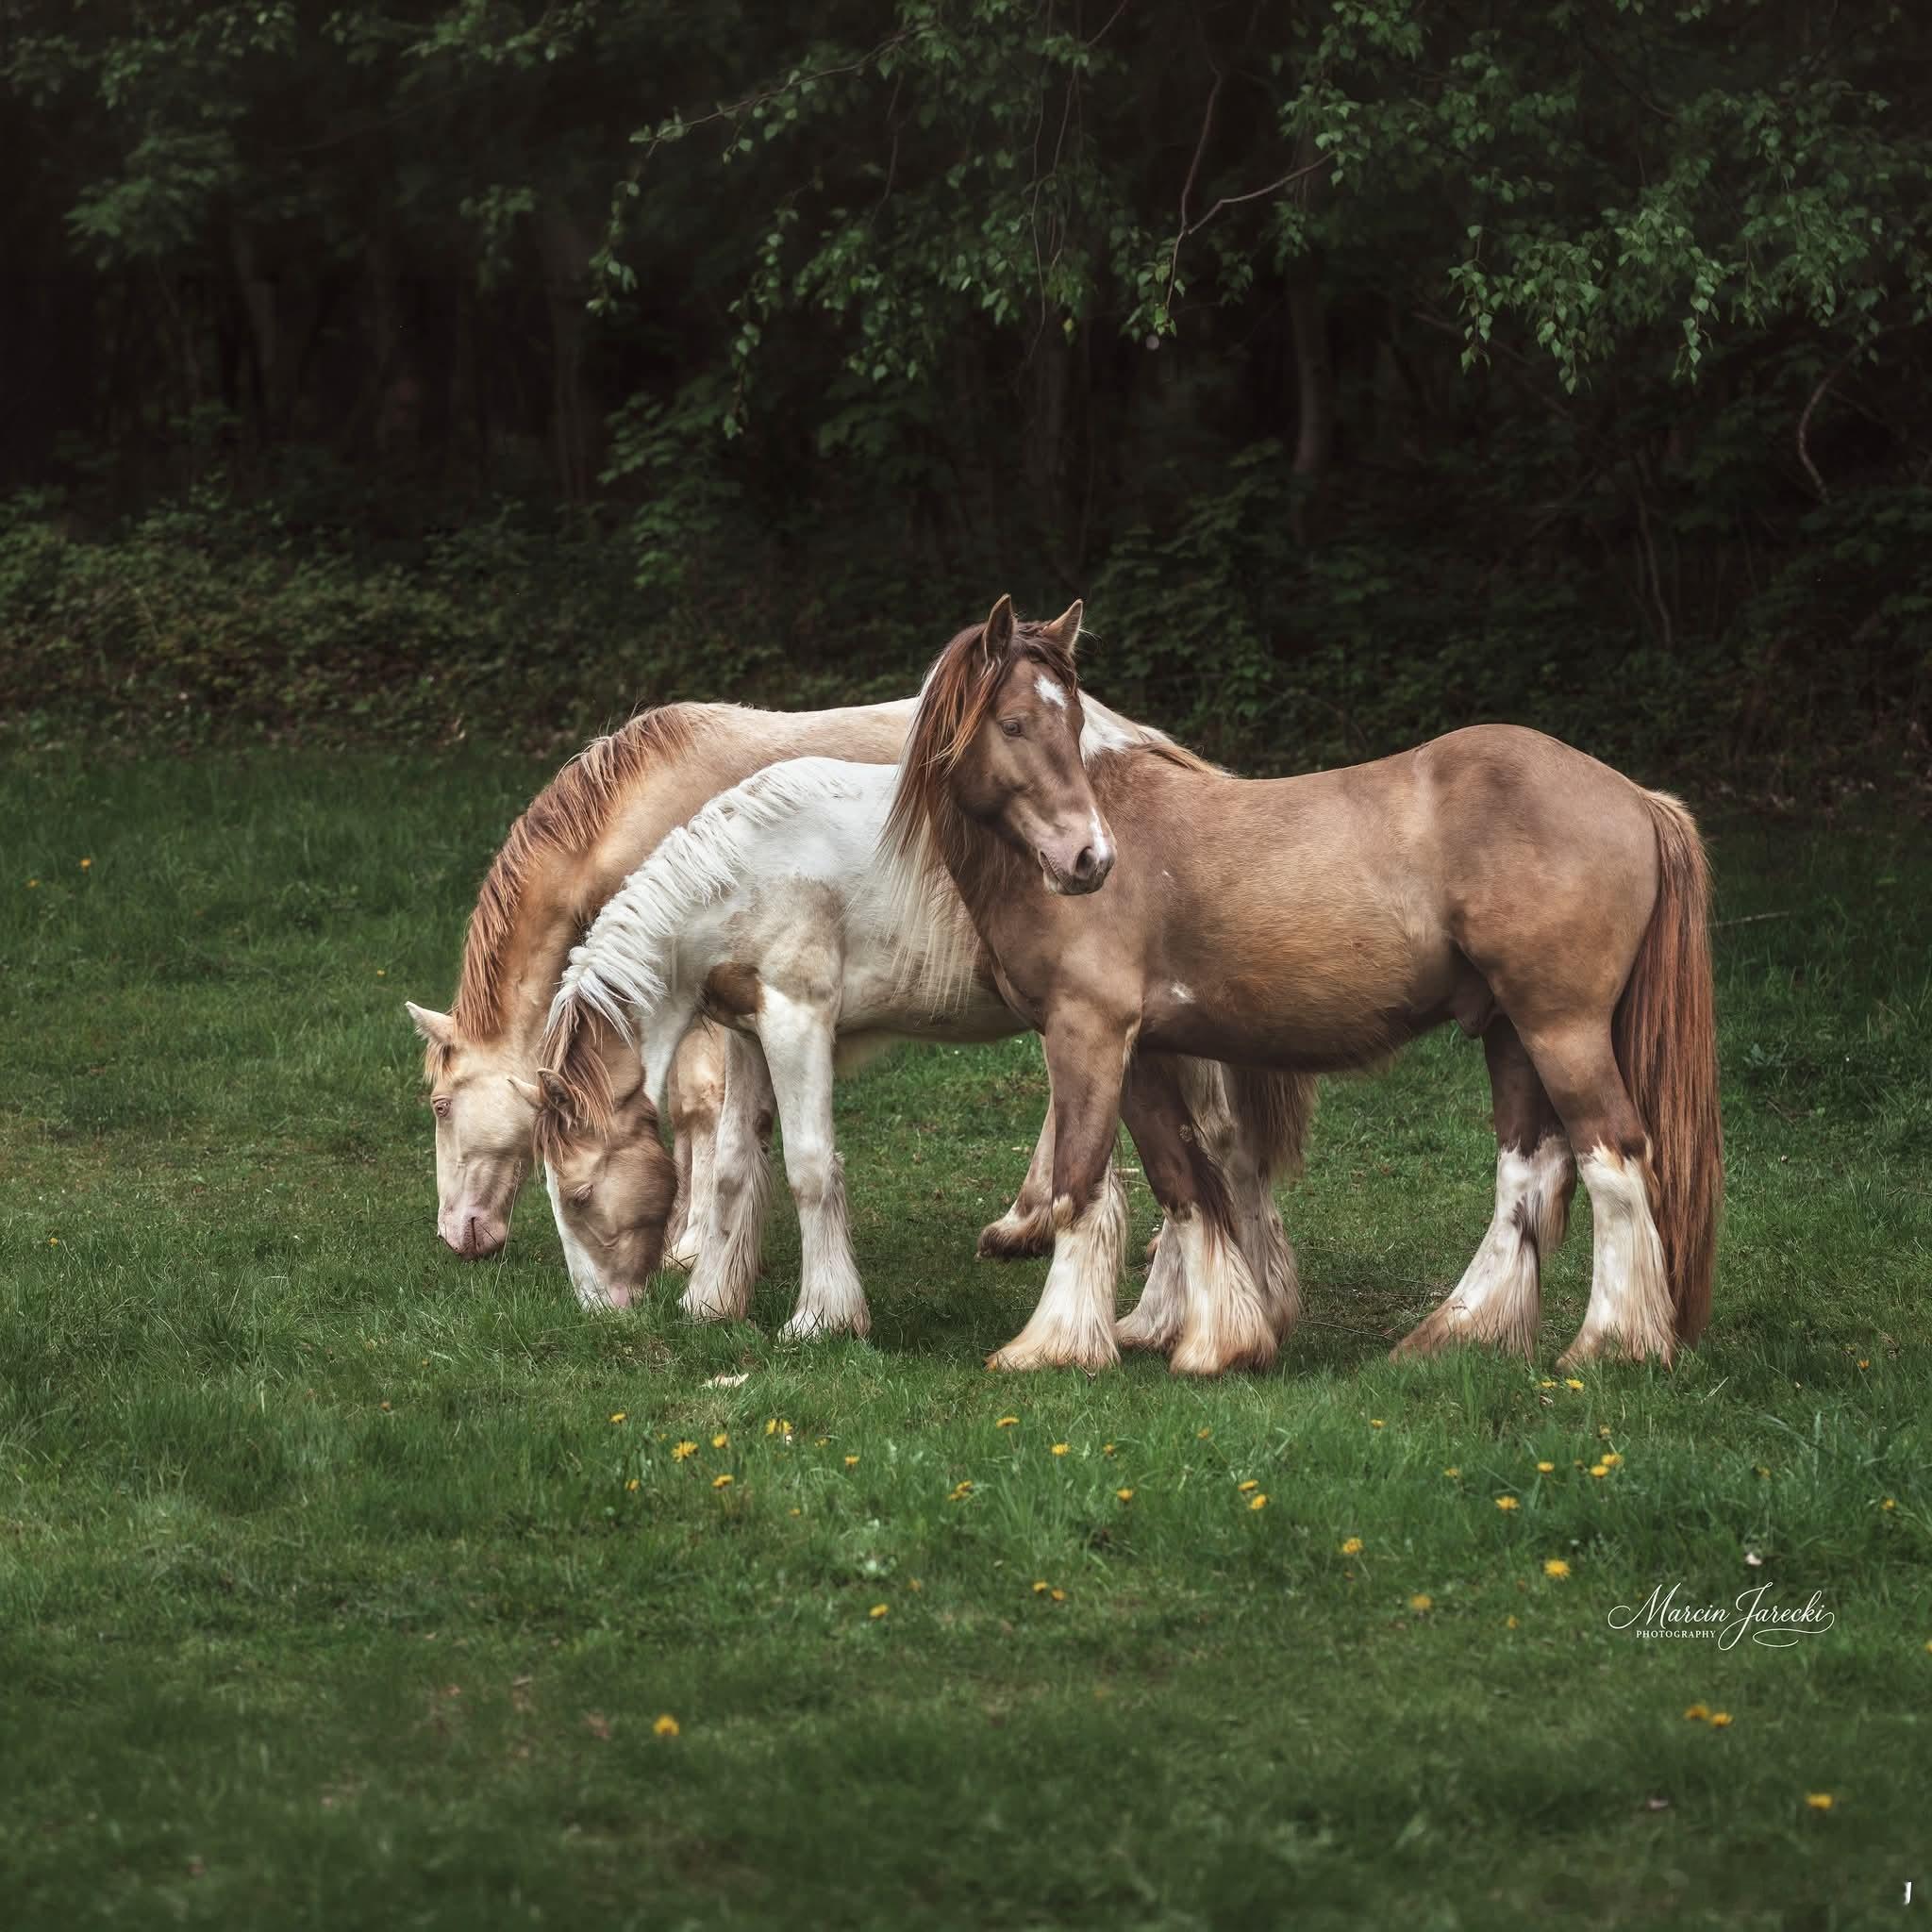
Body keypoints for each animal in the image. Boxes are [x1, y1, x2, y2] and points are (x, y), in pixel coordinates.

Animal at [531, 755, 1310, 1347]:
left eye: (577, 1195)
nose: (598, 1314)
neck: (753, 866)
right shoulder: (750, 1033)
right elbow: (731, 1168)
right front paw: (712, 1302)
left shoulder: (798, 1022)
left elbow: (809, 1168)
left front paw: (822, 1318)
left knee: (1216, 1153)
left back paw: (1174, 1320)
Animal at [883, 596, 1722, 1373]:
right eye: (1015, 724)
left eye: (1072, 720)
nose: (1090, 860)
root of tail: (1636, 797)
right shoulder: (1142, 1051)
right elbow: (1184, 1182)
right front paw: (1219, 1341)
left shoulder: (1086, 1034)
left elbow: (1079, 1184)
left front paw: (1051, 1346)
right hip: (1512, 1030)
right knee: (1530, 1172)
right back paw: (1458, 1333)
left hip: (1561, 1027)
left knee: (1613, 1158)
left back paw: (1611, 1344)